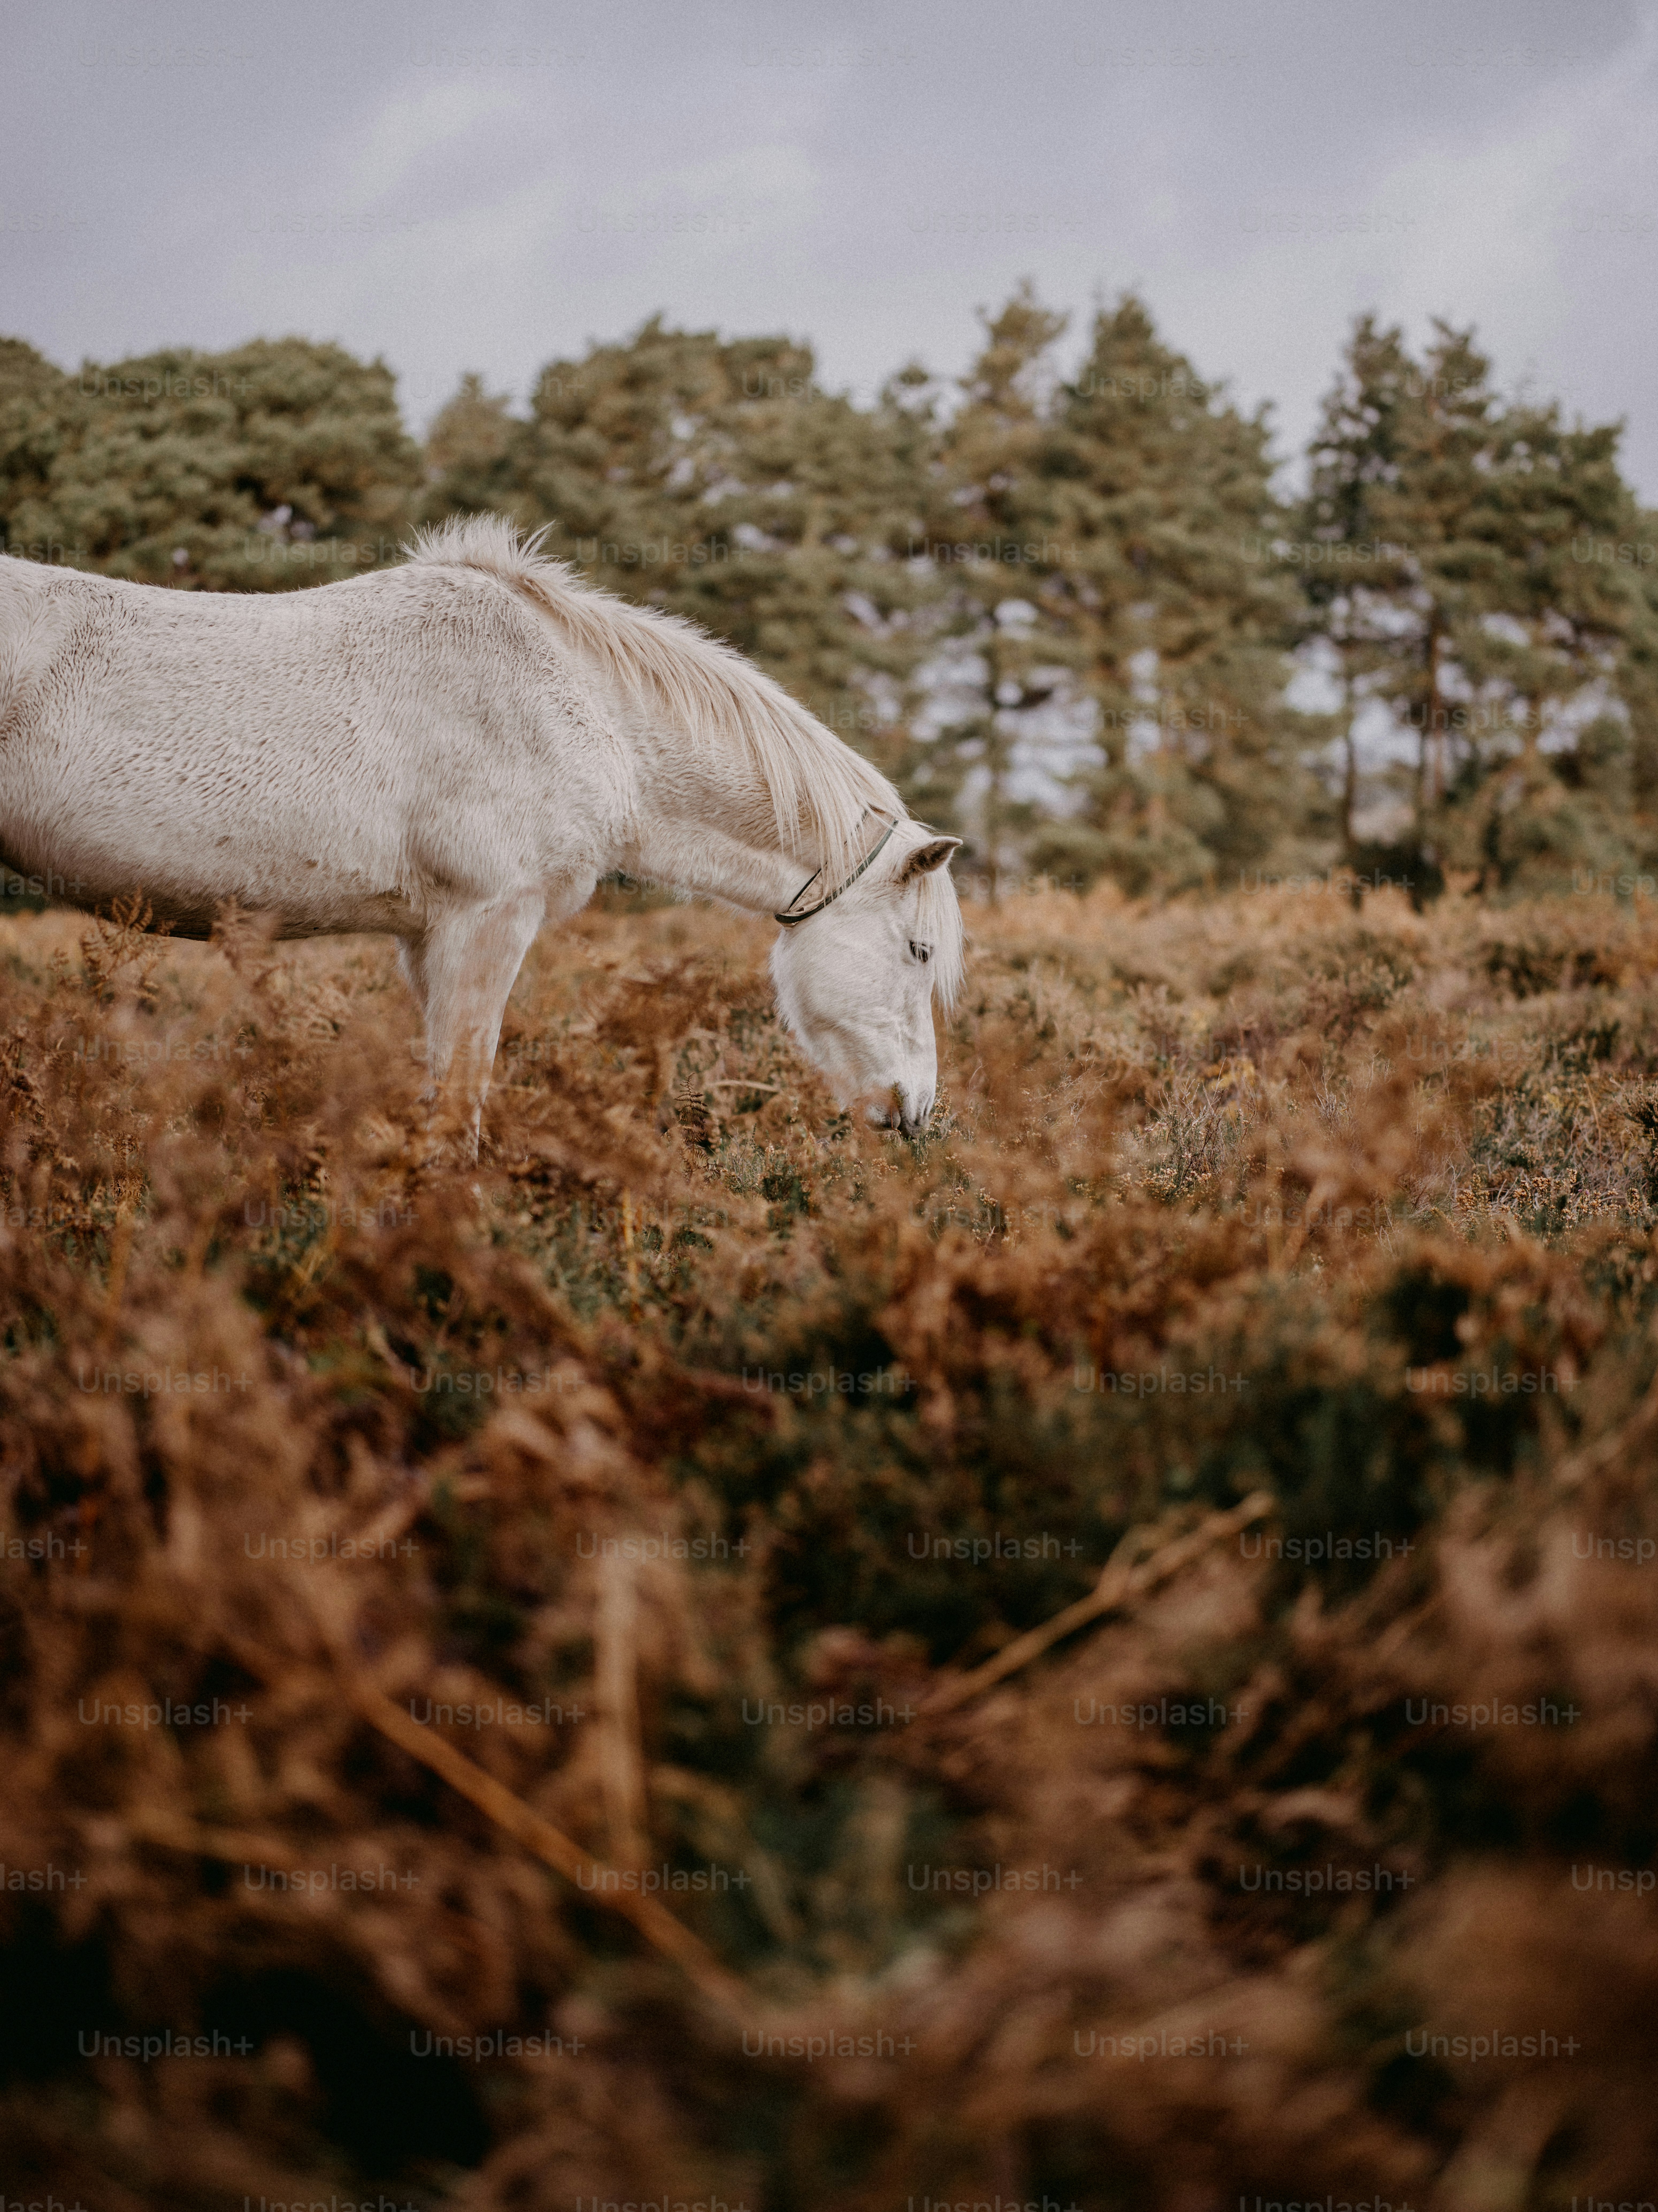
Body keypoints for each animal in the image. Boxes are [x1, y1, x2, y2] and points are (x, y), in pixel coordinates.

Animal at [0, 517, 963, 1151]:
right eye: (918, 952)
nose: (915, 1114)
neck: (578, 706)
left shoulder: (429, 942)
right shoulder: (487, 923)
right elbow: (460, 1107)